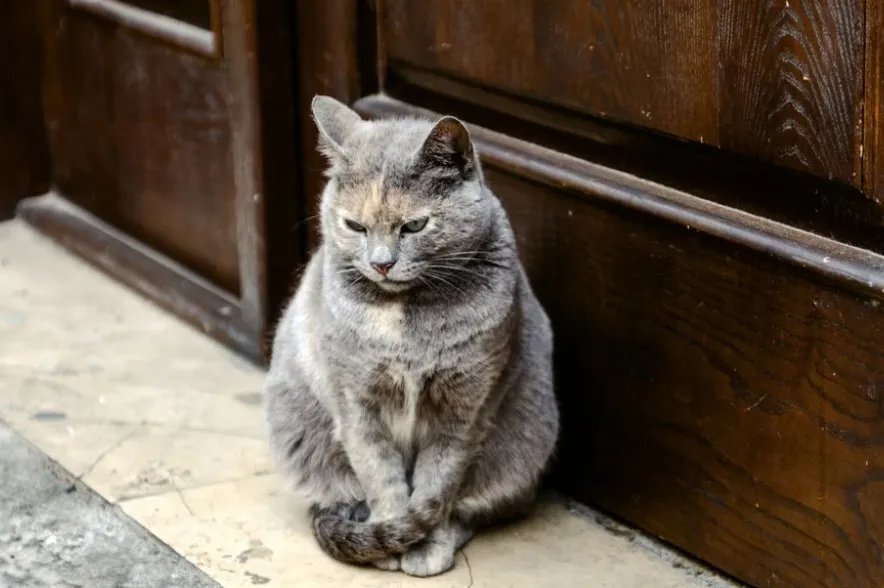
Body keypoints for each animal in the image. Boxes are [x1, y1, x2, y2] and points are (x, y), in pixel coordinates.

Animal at [262, 95, 560, 576]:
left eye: (415, 226)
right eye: (355, 226)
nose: (382, 263)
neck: (404, 323)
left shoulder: (464, 408)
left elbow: (438, 485)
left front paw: (424, 545)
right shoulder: (356, 404)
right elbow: (380, 477)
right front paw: (390, 537)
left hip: (523, 441)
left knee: (478, 508)